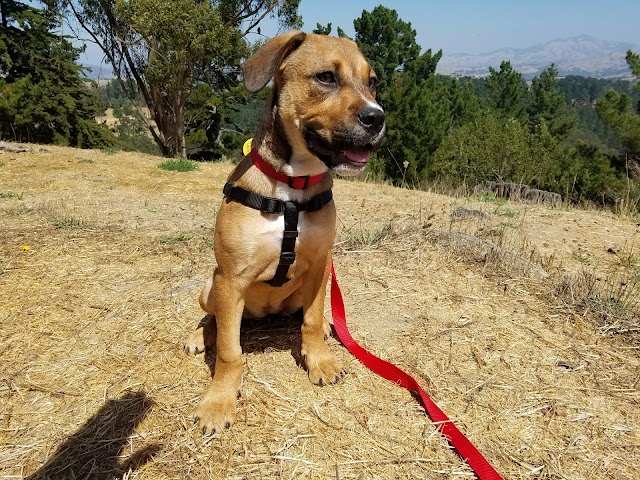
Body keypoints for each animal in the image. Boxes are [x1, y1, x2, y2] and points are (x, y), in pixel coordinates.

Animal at [185, 30, 384, 436]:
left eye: (372, 82)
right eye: (326, 77)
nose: (378, 117)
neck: (293, 186)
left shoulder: (321, 264)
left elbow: (311, 319)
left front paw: (319, 360)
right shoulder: (230, 277)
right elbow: (229, 351)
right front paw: (218, 402)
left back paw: (327, 327)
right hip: (211, 286)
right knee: (213, 319)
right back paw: (200, 336)